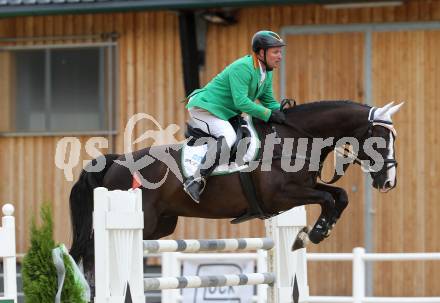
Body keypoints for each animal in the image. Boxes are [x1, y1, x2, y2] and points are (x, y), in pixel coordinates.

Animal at [68, 101, 402, 294]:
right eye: (380, 139)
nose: (389, 182)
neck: (295, 137)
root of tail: (117, 161)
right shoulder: (284, 196)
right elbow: (330, 199)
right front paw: (311, 235)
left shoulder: (304, 190)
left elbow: (339, 196)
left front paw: (312, 234)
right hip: (138, 217)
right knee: (92, 248)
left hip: (161, 225)